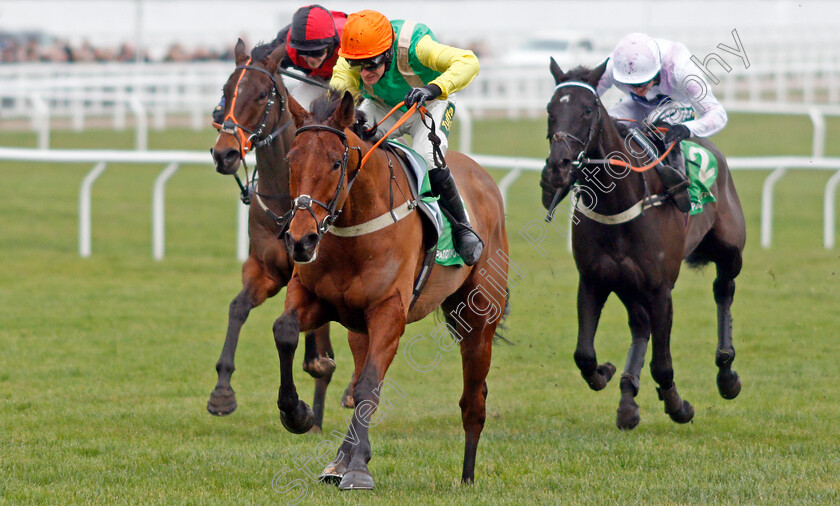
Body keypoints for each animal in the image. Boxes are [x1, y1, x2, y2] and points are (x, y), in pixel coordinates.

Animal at [208, 37, 342, 428]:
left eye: (261, 94)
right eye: (226, 92)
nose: (224, 154)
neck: (286, 199)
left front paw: (317, 362)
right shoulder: (263, 269)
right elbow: (238, 307)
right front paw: (222, 392)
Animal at [276, 91, 508, 490]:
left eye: (336, 163)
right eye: (291, 159)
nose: (300, 240)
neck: (355, 226)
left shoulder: (389, 311)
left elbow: (370, 384)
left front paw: (358, 469)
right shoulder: (316, 298)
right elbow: (286, 332)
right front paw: (297, 414)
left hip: (479, 317)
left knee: (473, 399)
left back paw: (467, 475)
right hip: (360, 327)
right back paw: (338, 461)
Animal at [544, 59, 748, 430]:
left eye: (588, 109)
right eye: (551, 110)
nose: (557, 166)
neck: (619, 203)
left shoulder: (660, 288)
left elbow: (663, 364)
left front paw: (678, 405)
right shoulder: (594, 280)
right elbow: (584, 354)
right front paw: (606, 373)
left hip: (729, 251)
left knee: (723, 290)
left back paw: (726, 373)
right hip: (627, 283)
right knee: (640, 326)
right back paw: (627, 396)